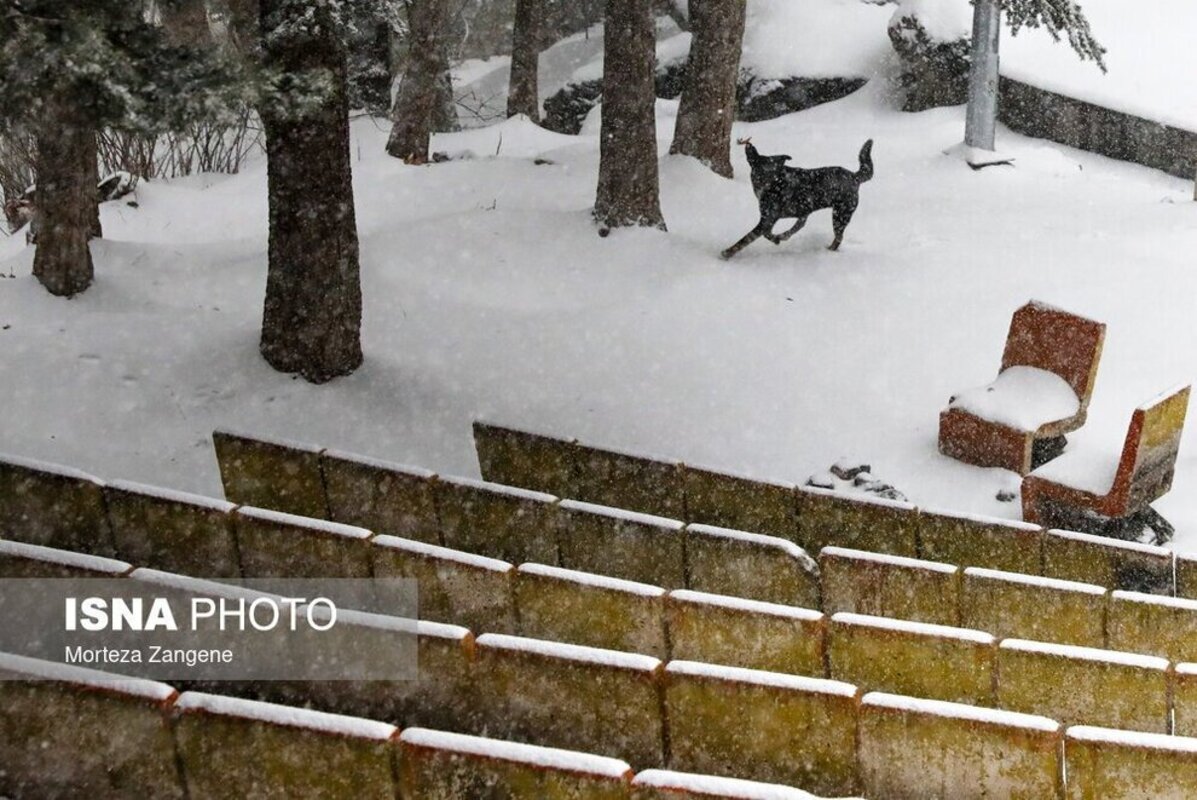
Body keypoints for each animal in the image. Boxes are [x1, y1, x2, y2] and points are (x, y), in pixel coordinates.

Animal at [713, 138, 876, 259]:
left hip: (840, 215)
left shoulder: (767, 220)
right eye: (759, 171)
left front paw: (727, 253)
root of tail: (854, 176)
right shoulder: (769, 219)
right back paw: (786, 234)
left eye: (772, 173)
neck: (776, 185)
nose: (764, 184)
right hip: (815, 211)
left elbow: (746, 239)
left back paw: (829, 250)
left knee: (838, 237)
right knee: (801, 223)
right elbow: (768, 233)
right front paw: (777, 239)